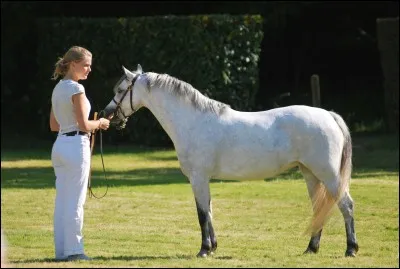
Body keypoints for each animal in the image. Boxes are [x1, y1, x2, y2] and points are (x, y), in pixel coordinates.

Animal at [104, 63, 360, 256]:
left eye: (120, 90)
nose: (108, 115)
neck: (192, 121)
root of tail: (329, 115)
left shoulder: (198, 178)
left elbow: (202, 214)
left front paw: (204, 250)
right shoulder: (202, 180)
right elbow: (209, 211)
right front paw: (213, 247)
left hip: (329, 175)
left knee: (345, 205)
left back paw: (351, 249)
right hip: (310, 174)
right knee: (320, 208)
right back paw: (311, 249)